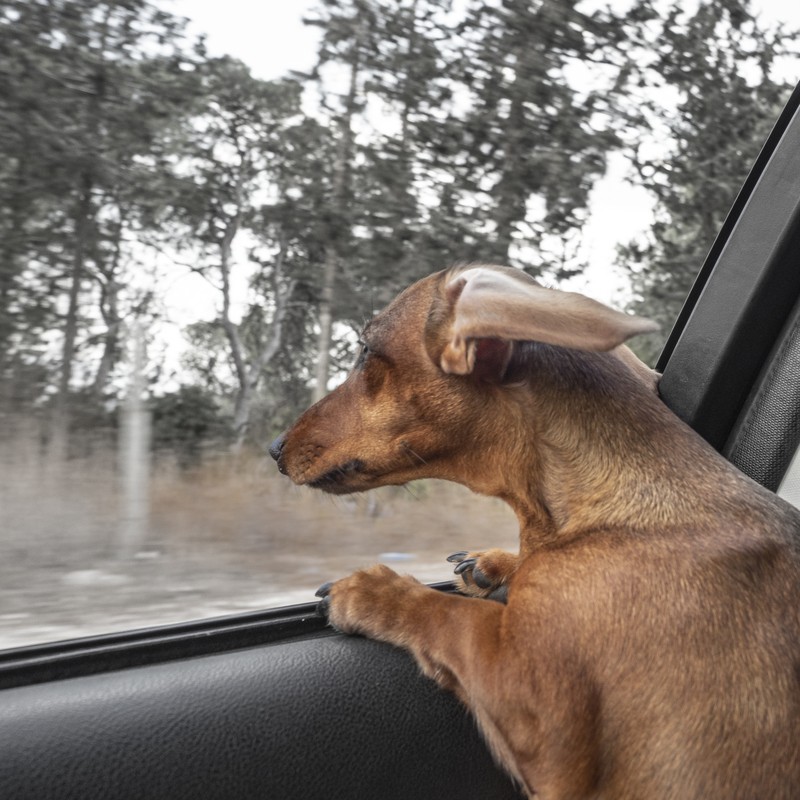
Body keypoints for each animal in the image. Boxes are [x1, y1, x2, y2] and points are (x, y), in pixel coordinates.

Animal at [268, 266, 800, 796]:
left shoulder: (537, 717)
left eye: (363, 351)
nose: (274, 449)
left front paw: (375, 591)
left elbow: (450, 617)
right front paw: (495, 564)